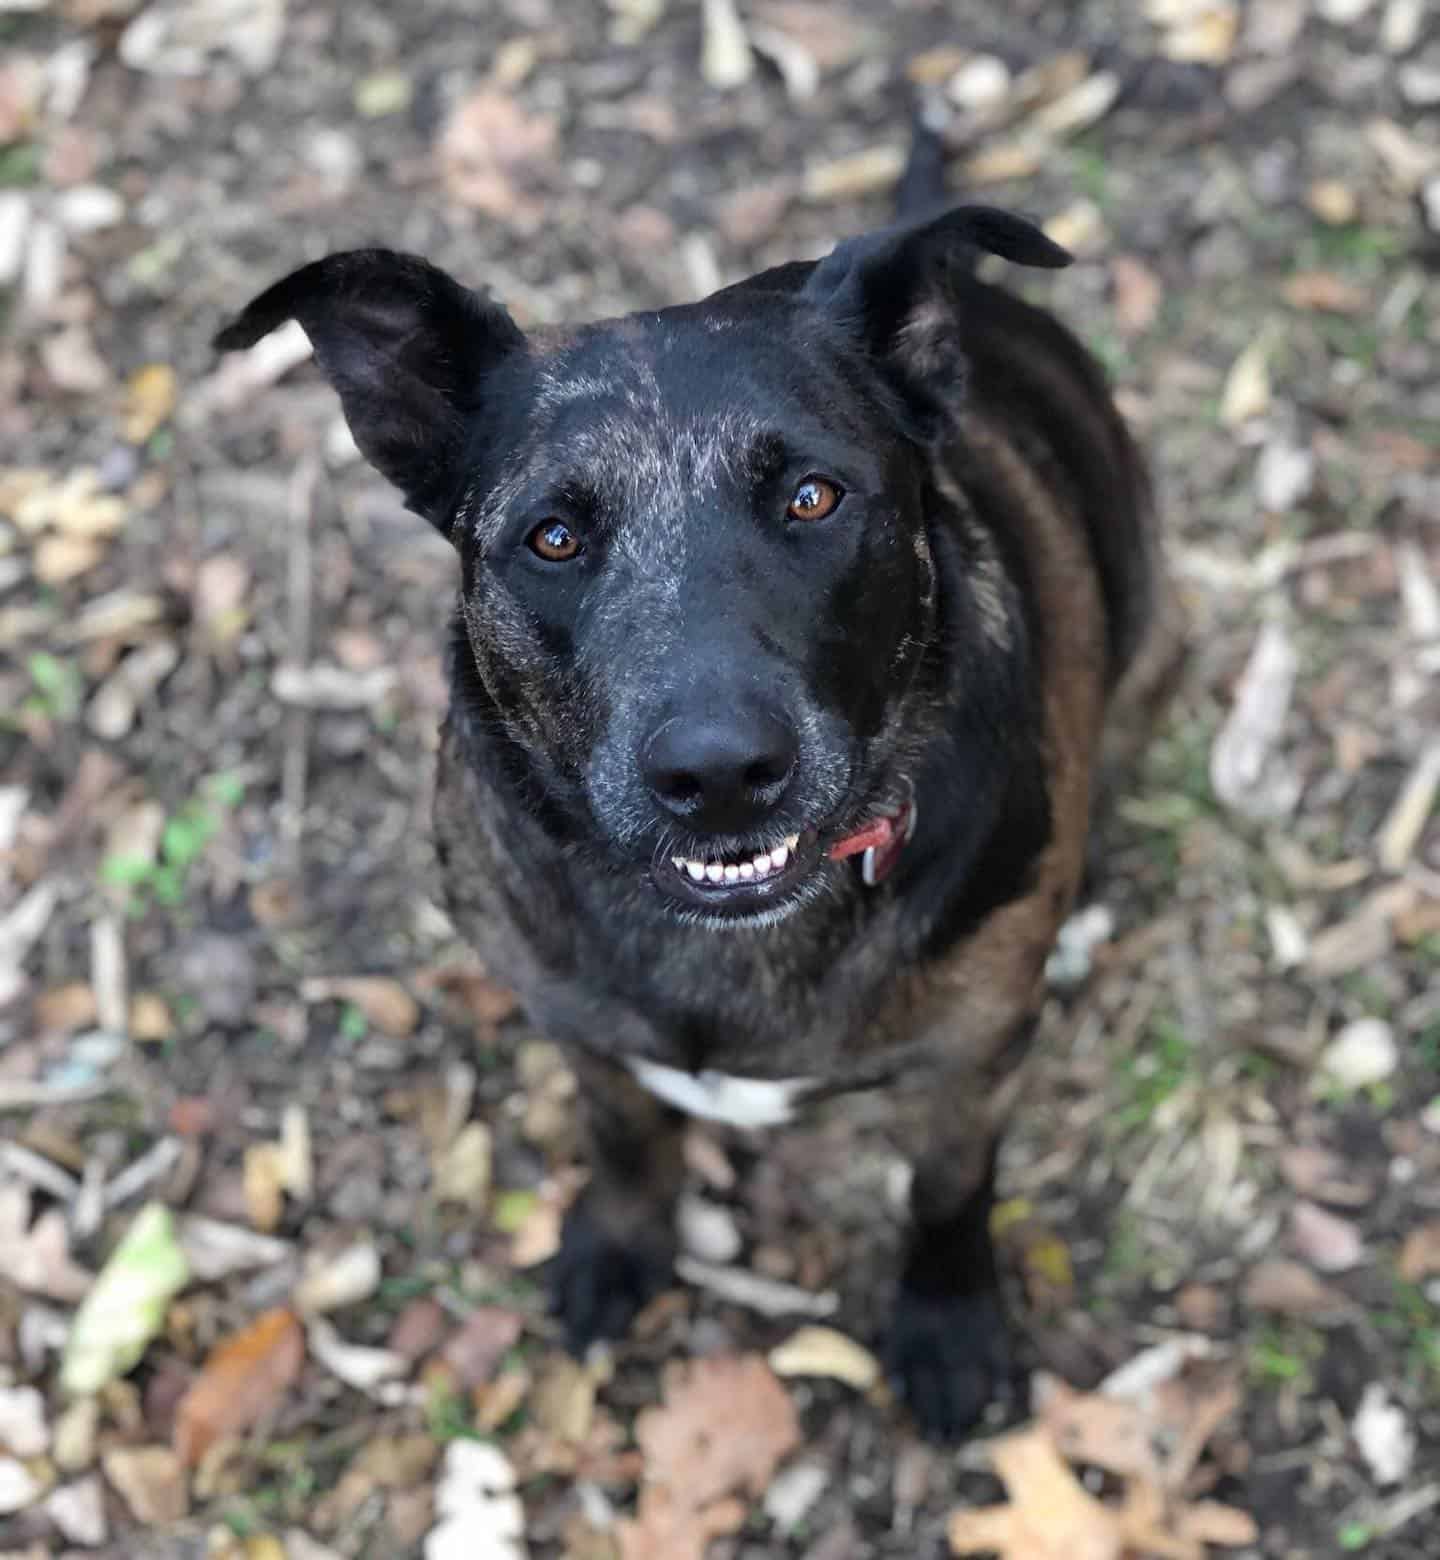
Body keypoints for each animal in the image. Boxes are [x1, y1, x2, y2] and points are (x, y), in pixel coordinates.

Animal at [213, 137, 1179, 1435]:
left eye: (812, 496)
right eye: (554, 537)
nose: (718, 775)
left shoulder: (969, 1066)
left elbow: (947, 1191)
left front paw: (947, 1320)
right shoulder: (576, 1023)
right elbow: (625, 1138)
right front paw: (624, 1243)